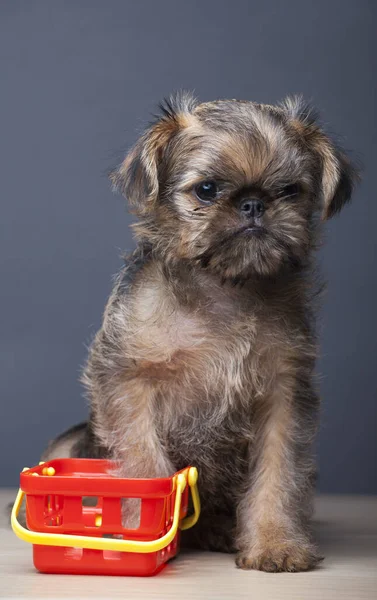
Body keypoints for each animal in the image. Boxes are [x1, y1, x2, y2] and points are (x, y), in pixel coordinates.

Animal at [39, 94, 356, 572]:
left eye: (290, 191)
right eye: (206, 190)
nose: (253, 203)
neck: (226, 288)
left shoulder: (283, 399)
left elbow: (278, 477)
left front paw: (275, 543)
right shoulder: (129, 383)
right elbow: (144, 465)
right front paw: (139, 537)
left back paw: (220, 530)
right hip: (70, 442)